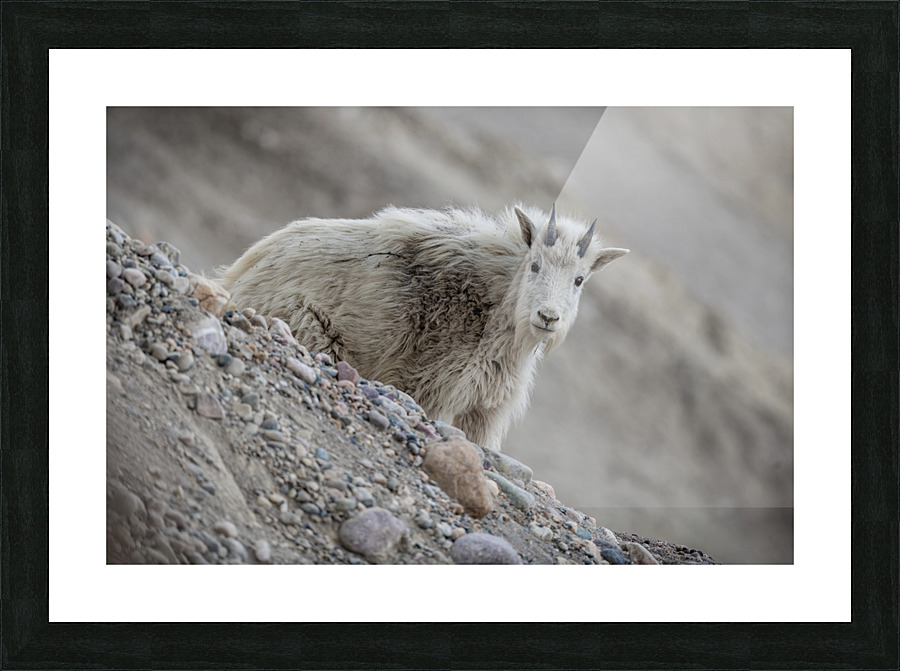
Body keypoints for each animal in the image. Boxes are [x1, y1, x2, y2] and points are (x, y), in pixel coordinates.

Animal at [220, 204, 628, 450]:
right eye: (535, 265)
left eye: (579, 279)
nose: (548, 317)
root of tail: (236, 277)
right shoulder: (429, 386)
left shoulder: (484, 410)